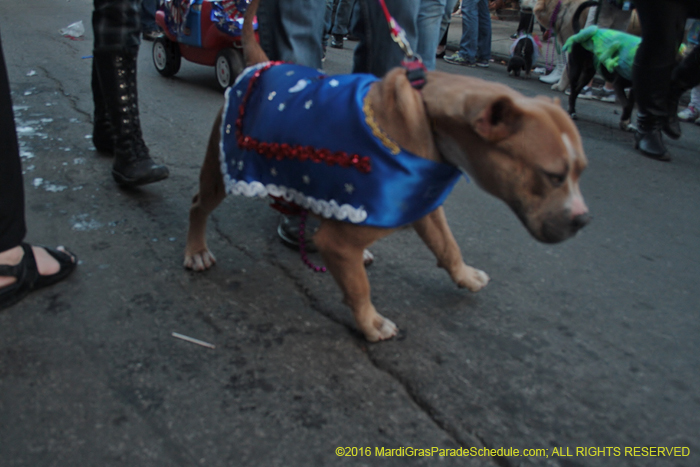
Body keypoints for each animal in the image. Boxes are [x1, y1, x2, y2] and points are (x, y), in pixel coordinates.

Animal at [183, 0, 588, 344]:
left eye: (580, 171)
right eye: (553, 175)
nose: (583, 221)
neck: (427, 116)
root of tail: (260, 64)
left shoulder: (423, 202)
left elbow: (447, 245)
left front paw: (465, 275)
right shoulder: (346, 238)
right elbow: (359, 288)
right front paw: (371, 323)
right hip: (222, 169)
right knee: (199, 204)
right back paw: (197, 251)